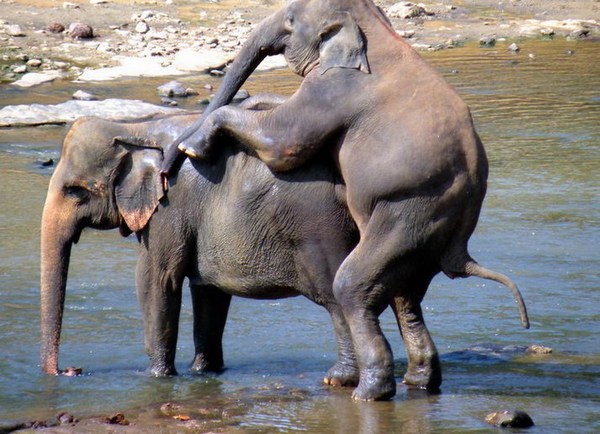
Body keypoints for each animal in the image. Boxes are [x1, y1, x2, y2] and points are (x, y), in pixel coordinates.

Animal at [163, 0, 528, 402]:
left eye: (290, 19)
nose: (166, 170)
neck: (375, 25)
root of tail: (461, 249)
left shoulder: (335, 88)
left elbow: (283, 144)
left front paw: (192, 146)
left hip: (409, 214)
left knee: (352, 287)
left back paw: (369, 393)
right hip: (420, 233)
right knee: (406, 296)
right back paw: (418, 384)